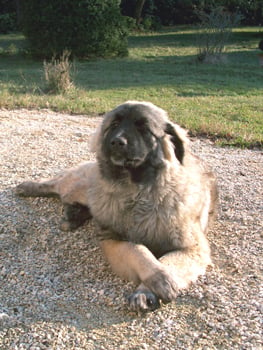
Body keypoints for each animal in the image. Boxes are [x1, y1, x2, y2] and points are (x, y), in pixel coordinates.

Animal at [16, 100, 219, 310]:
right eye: (113, 125)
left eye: (144, 128)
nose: (117, 142)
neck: (137, 192)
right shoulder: (112, 239)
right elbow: (139, 251)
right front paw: (159, 277)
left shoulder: (192, 248)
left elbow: (167, 262)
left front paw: (146, 290)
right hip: (80, 187)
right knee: (56, 184)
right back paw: (28, 187)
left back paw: (72, 216)